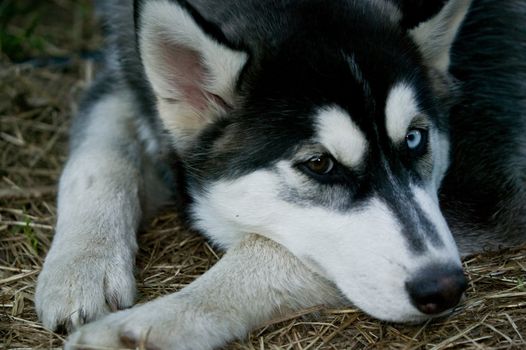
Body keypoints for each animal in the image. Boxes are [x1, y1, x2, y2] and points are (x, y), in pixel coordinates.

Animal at [35, 0, 524, 348]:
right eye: (320, 164)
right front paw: (80, 267)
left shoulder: (491, 189)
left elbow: (266, 249)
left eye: (416, 139)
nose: (444, 287)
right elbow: (94, 158)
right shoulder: (120, 76)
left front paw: (138, 330)